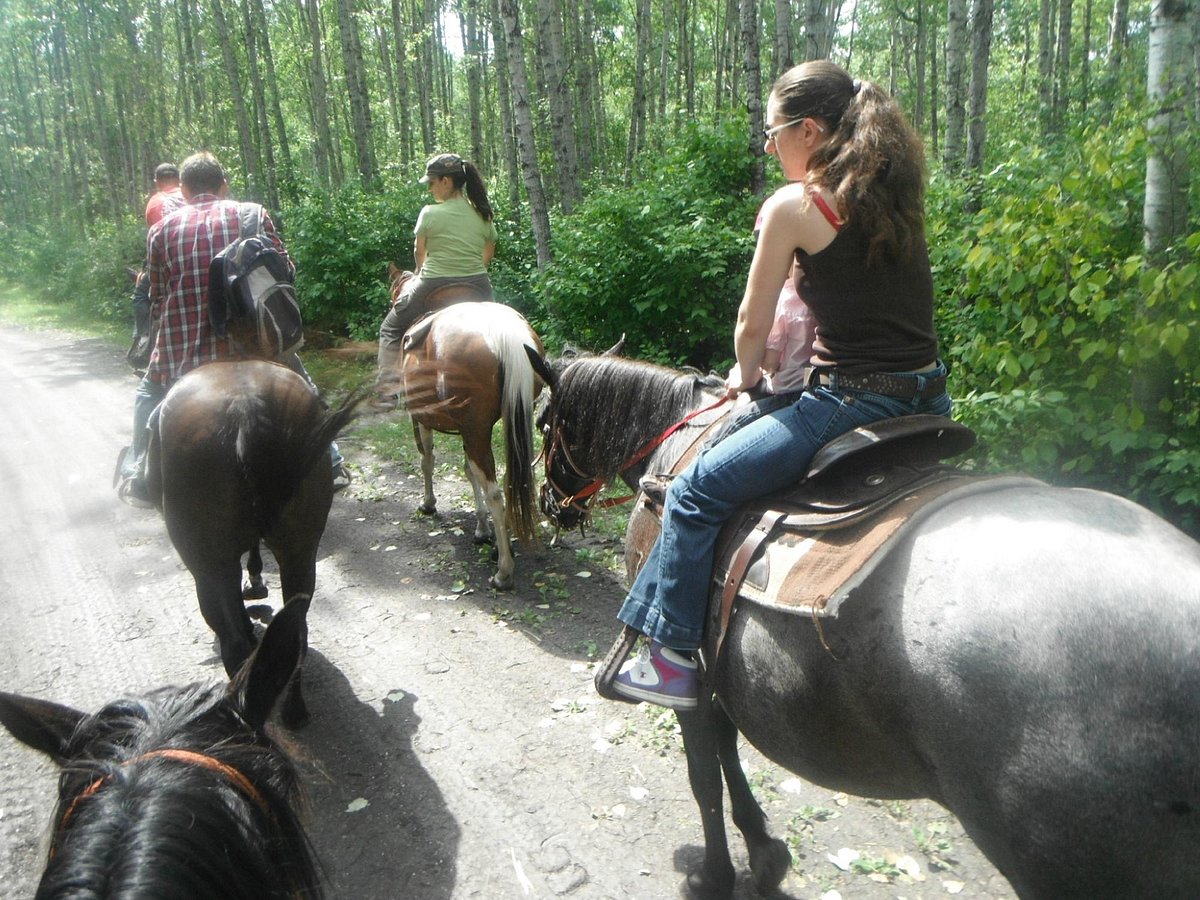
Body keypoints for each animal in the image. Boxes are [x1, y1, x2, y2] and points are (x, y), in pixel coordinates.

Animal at [144, 357, 360, 724]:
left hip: (208, 565)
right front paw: (256, 584)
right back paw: (294, 711)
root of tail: (246, 408)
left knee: (232, 644)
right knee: (297, 633)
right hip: (300, 551)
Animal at [388, 303, 544, 592]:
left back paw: (504, 571)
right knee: (508, 480)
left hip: (476, 430)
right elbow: (469, 472)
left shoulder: (422, 420)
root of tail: (504, 334)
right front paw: (482, 528)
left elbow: (427, 461)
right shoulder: (467, 431)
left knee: (495, 493)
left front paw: (428, 504)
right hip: (506, 422)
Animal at [528, 352, 1200, 900]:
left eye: (543, 423)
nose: (548, 503)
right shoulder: (717, 680)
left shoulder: (691, 678)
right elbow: (725, 759)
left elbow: (705, 775)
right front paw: (766, 855)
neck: (674, 456)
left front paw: (717, 876)